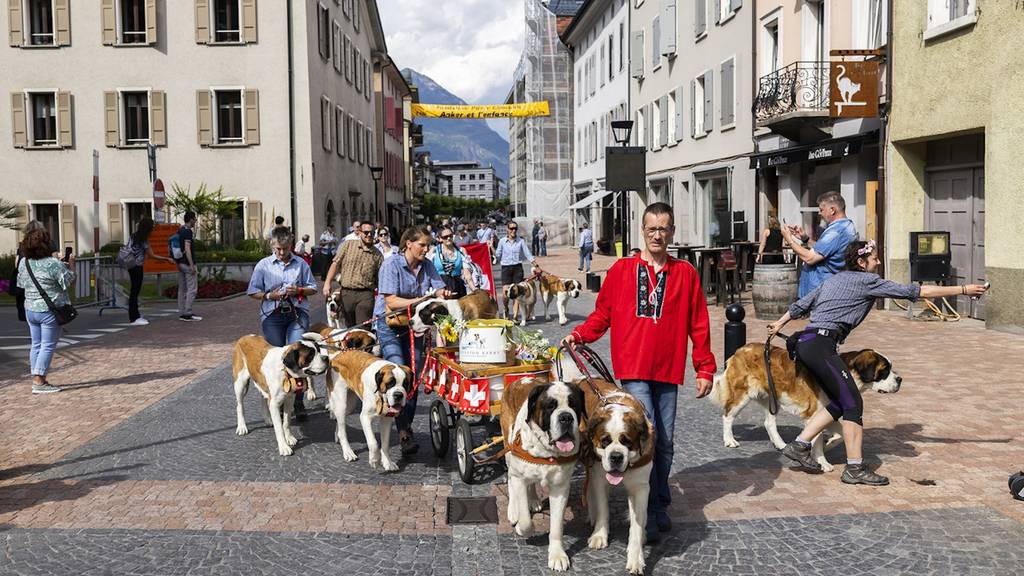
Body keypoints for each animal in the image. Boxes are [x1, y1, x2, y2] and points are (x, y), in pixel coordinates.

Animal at [497, 377, 581, 569]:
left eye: (573, 405)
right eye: (551, 406)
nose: (566, 417)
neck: (547, 452)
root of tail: (521, 378)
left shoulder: (560, 487)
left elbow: (557, 526)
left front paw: (557, 555)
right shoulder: (519, 478)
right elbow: (526, 520)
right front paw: (521, 527)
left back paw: (534, 500)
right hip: (508, 445)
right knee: (511, 478)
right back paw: (513, 510)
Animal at [577, 377, 655, 569]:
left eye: (627, 442)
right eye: (605, 441)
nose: (616, 456)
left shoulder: (641, 487)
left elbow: (637, 523)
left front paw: (636, 557)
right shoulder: (599, 477)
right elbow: (603, 507)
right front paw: (600, 534)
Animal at [712, 342, 905, 469]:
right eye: (884, 370)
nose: (900, 379)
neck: (844, 377)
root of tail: (740, 349)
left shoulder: (829, 412)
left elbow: (840, 435)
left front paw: (827, 445)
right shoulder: (815, 414)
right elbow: (818, 440)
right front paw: (822, 461)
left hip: (773, 397)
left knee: (769, 422)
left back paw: (781, 445)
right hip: (742, 394)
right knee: (727, 415)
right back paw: (729, 440)